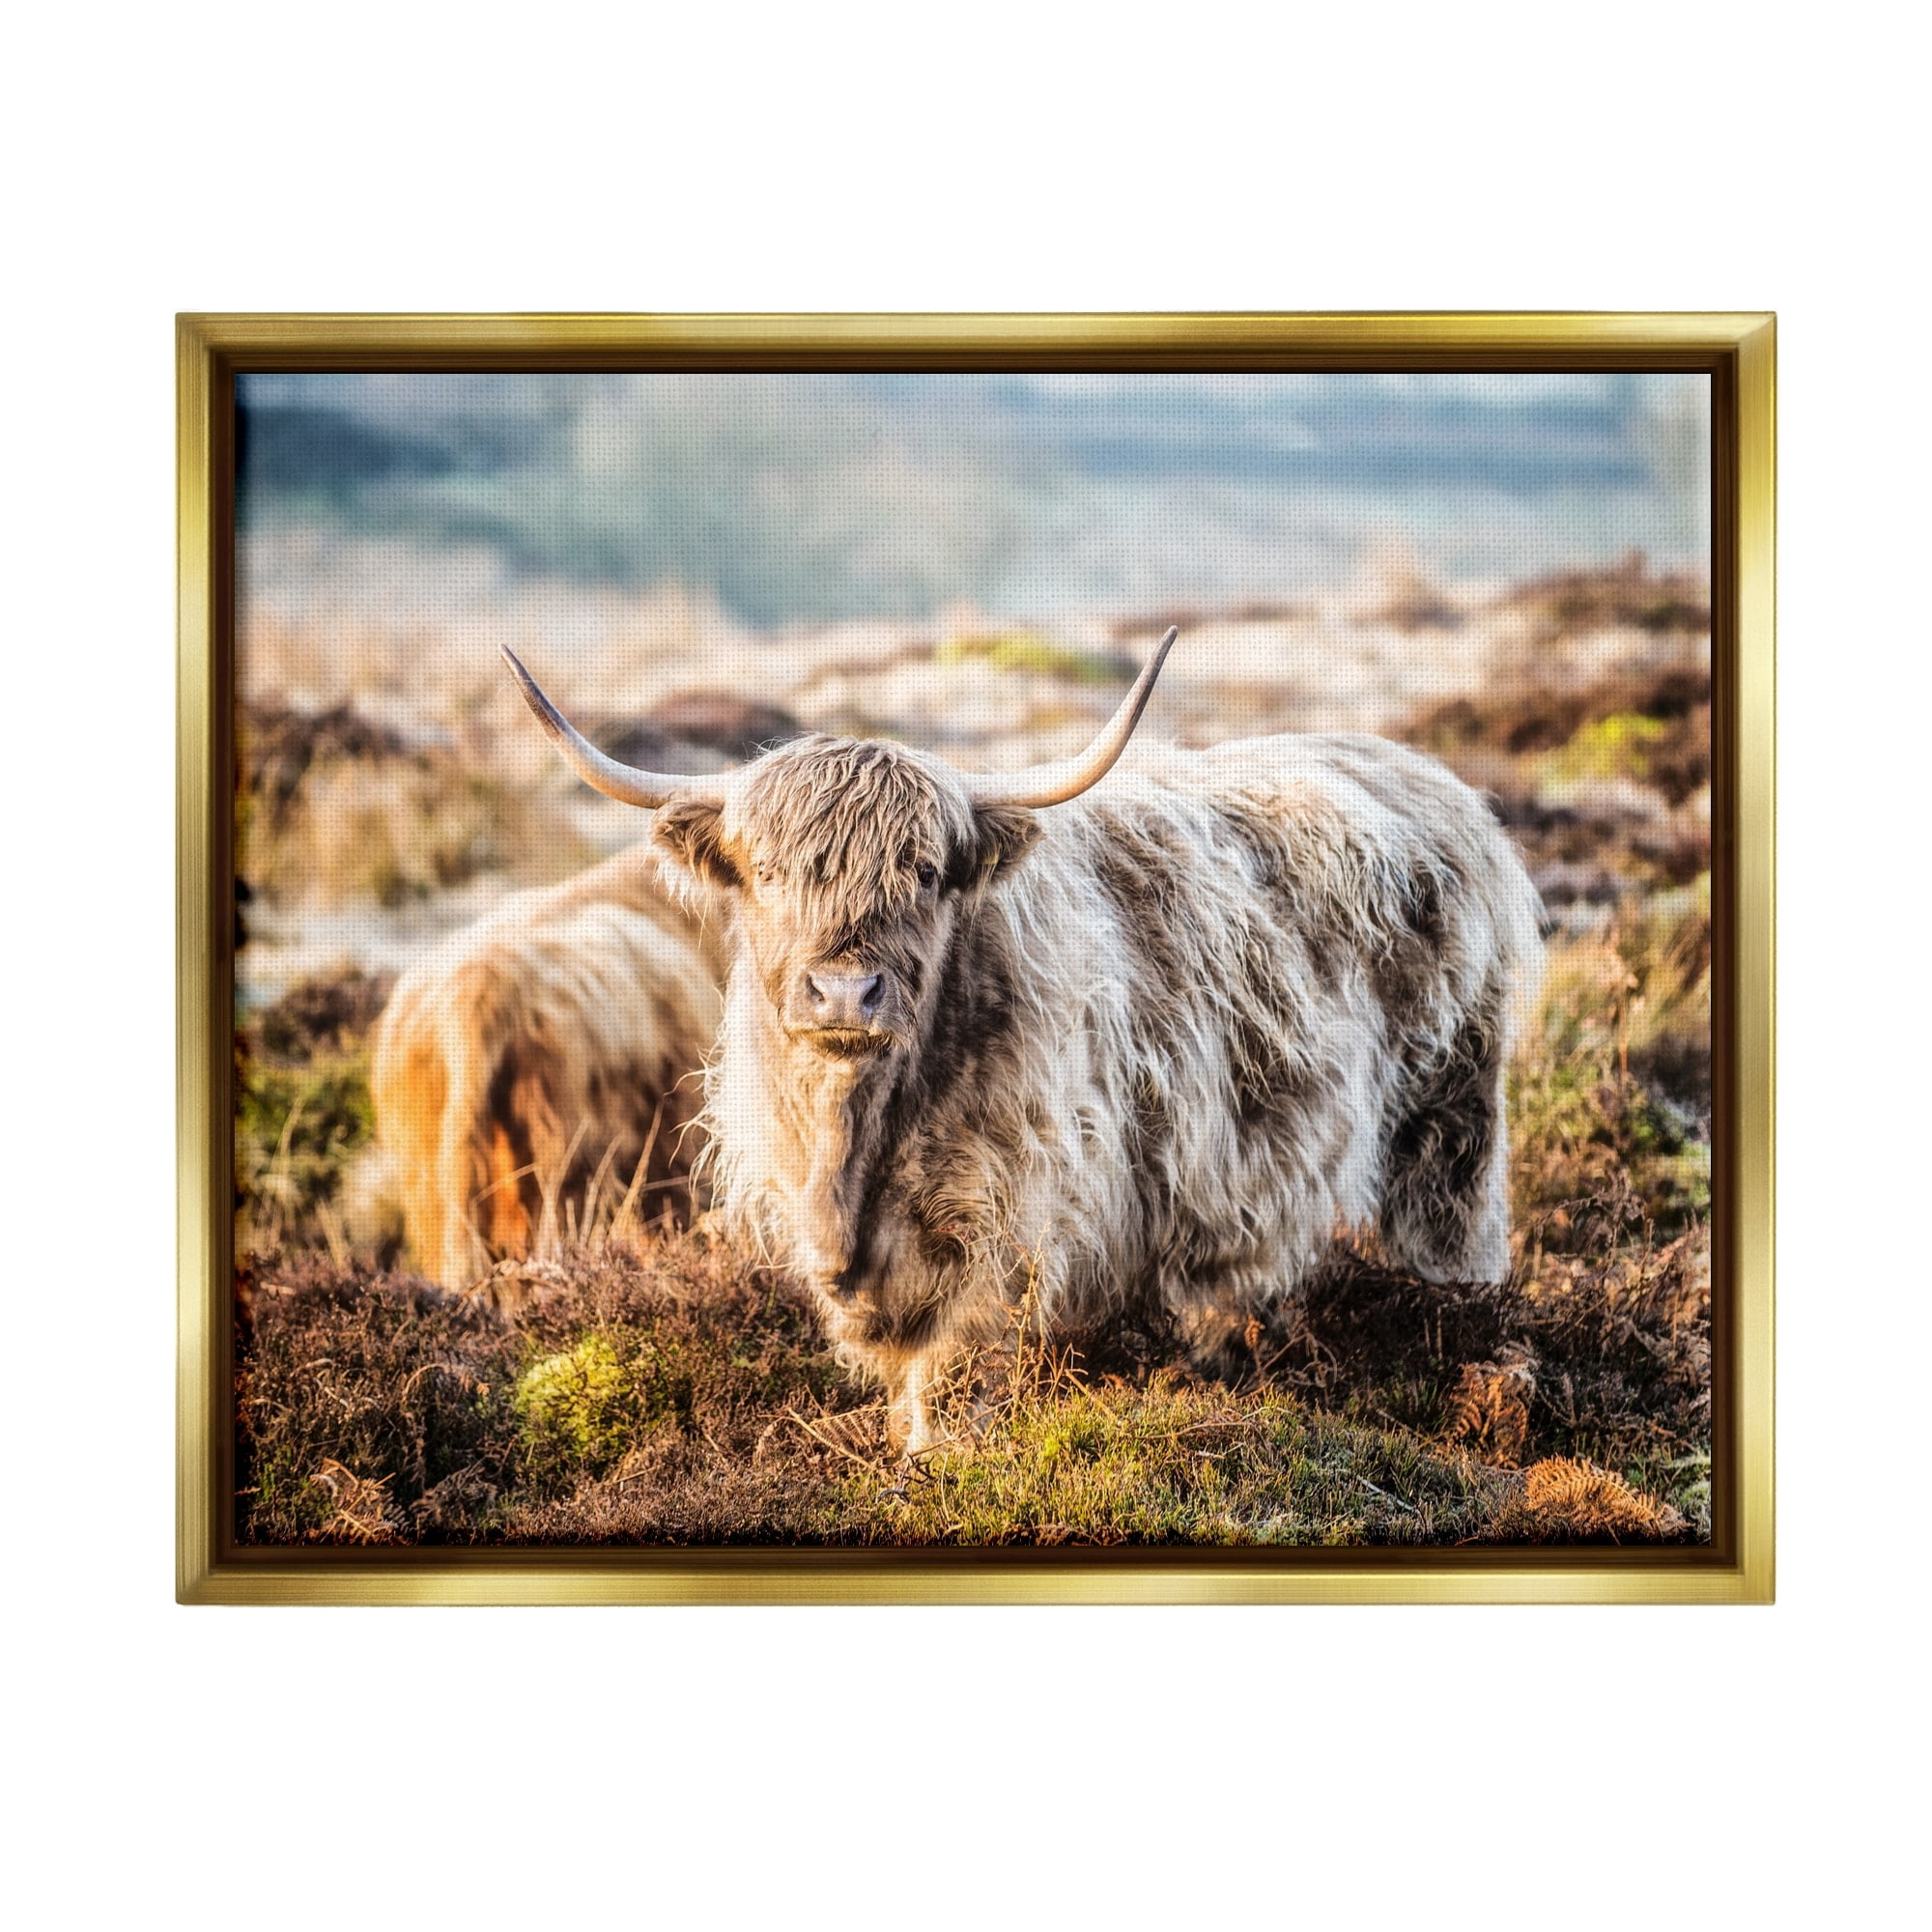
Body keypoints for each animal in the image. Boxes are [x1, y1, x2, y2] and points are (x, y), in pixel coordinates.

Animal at [501, 629, 1543, 1450]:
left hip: (1450, 1123)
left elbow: (956, 1363)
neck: (859, 1136)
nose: (843, 990)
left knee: (1449, 1239)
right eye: (764, 871)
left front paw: (934, 1458)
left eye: (924, 870)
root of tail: (1432, 779)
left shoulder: (1001, 1218)